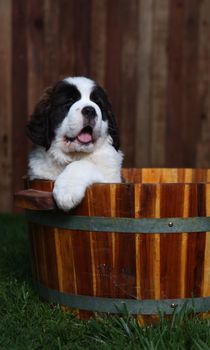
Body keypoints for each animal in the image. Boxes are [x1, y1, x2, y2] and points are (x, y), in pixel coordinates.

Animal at [27, 77, 124, 211]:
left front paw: (67, 192)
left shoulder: (111, 179)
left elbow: (82, 164)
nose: (90, 110)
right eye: (69, 102)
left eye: (99, 104)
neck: (74, 155)